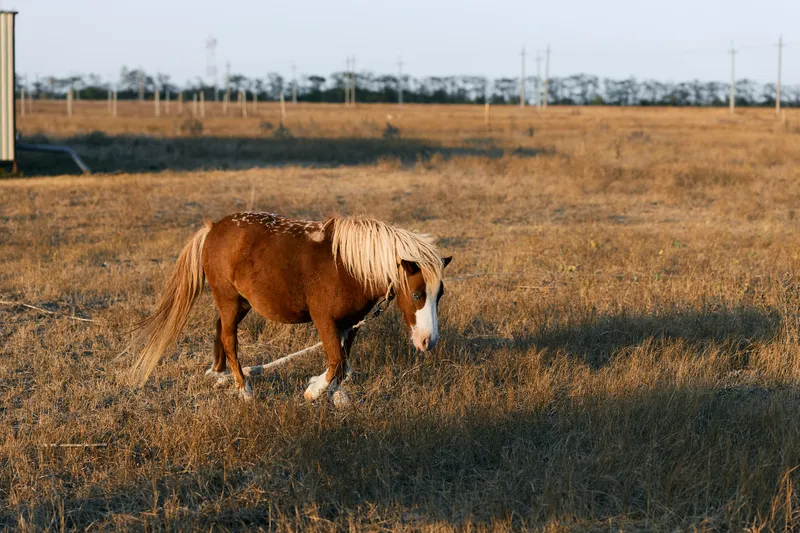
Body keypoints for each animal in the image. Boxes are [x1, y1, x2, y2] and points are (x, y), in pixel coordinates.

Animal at [127, 212, 452, 404]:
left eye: (439, 295)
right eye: (416, 293)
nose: (428, 341)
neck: (347, 266)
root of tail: (214, 228)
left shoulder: (350, 323)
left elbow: (343, 360)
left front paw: (337, 394)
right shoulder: (325, 320)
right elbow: (335, 360)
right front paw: (314, 389)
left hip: (241, 302)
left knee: (219, 328)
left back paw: (219, 374)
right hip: (228, 299)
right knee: (230, 339)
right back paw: (243, 388)